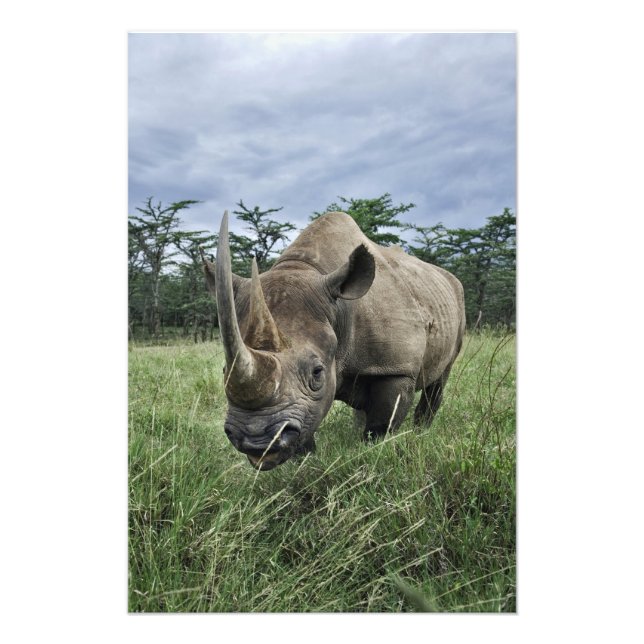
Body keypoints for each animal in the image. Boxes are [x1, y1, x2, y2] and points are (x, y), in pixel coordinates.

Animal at [203, 210, 466, 470]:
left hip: (456, 299)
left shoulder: (396, 368)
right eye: (224, 371)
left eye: (317, 372)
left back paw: (421, 433)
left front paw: (373, 455)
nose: (256, 442)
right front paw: (305, 464)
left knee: (440, 377)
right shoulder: (307, 402)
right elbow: (308, 425)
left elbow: (381, 426)